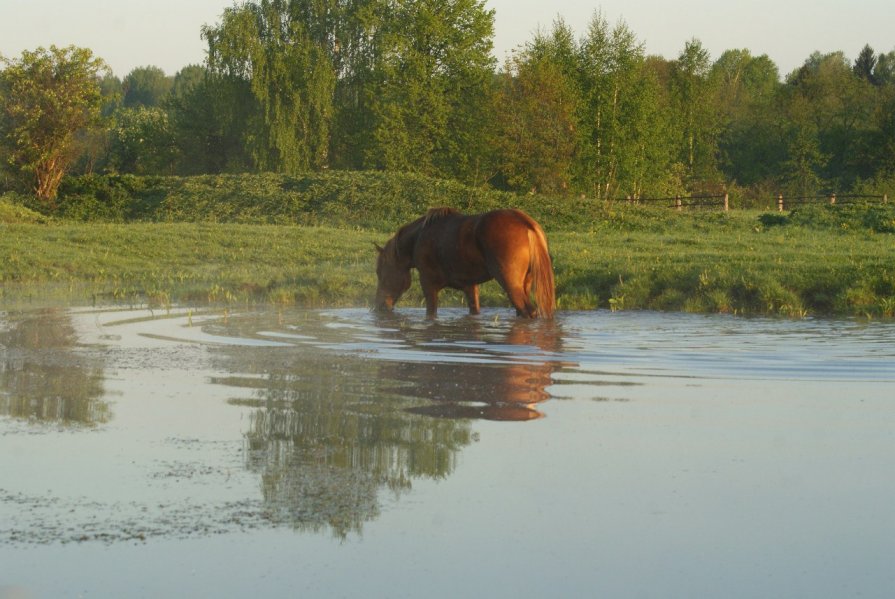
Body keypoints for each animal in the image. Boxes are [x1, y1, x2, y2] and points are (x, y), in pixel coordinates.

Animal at [374, 207, 556, 318]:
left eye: (380, 272)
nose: (379, 306)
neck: (419, 237)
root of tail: (526, 223)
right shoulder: (470, 286)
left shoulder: (428, 284)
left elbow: (431, 314)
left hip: (510, 284)